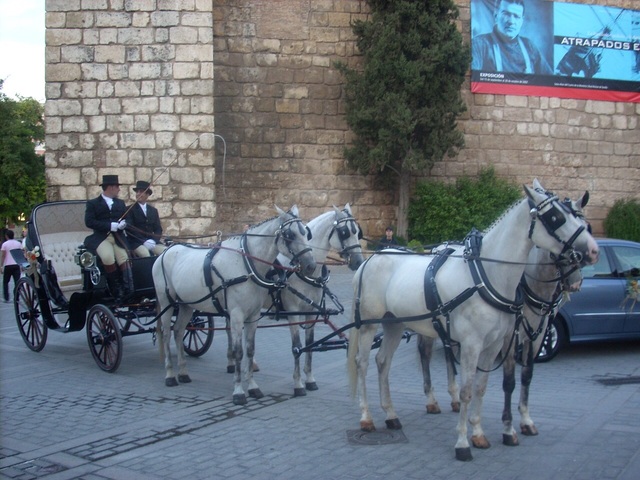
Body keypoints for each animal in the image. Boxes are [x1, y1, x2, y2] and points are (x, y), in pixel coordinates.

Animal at [153, 205, 318, 404]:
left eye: (306, 233)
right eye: (290, 235)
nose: (311, 265)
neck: (246, 264)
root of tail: (165, 251)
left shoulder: (253, 315)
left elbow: (250, 350)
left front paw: (253, 387)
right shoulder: (237, 315)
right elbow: (238, 352)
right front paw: (239, 391)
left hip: (187, 305)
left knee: (178, 332)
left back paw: (183, 372)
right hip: (166, 302)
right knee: (167, 334)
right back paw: (170, 375)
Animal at [225, 204, 364, 396]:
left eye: (358, 232)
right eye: (344, 232)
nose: (359, 261)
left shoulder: (311, 311)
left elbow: (309, 344)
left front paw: (310, 379)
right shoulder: (293, 311)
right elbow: (297, 346)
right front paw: (298, 384)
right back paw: (233, 363)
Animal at [348, 181, 596, 462]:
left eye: (585, 223)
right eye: (555, 217)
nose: (591, 251)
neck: (487, 275)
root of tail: (371, 258)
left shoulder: (503, 343)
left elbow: (486, 387)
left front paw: (481, 432)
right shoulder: (476, 344)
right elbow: (475, 389)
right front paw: (465, 442)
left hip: (395, 324)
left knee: (383, 362)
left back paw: (391, 414)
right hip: (369, 325)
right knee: (363, 363)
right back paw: (367, 417)